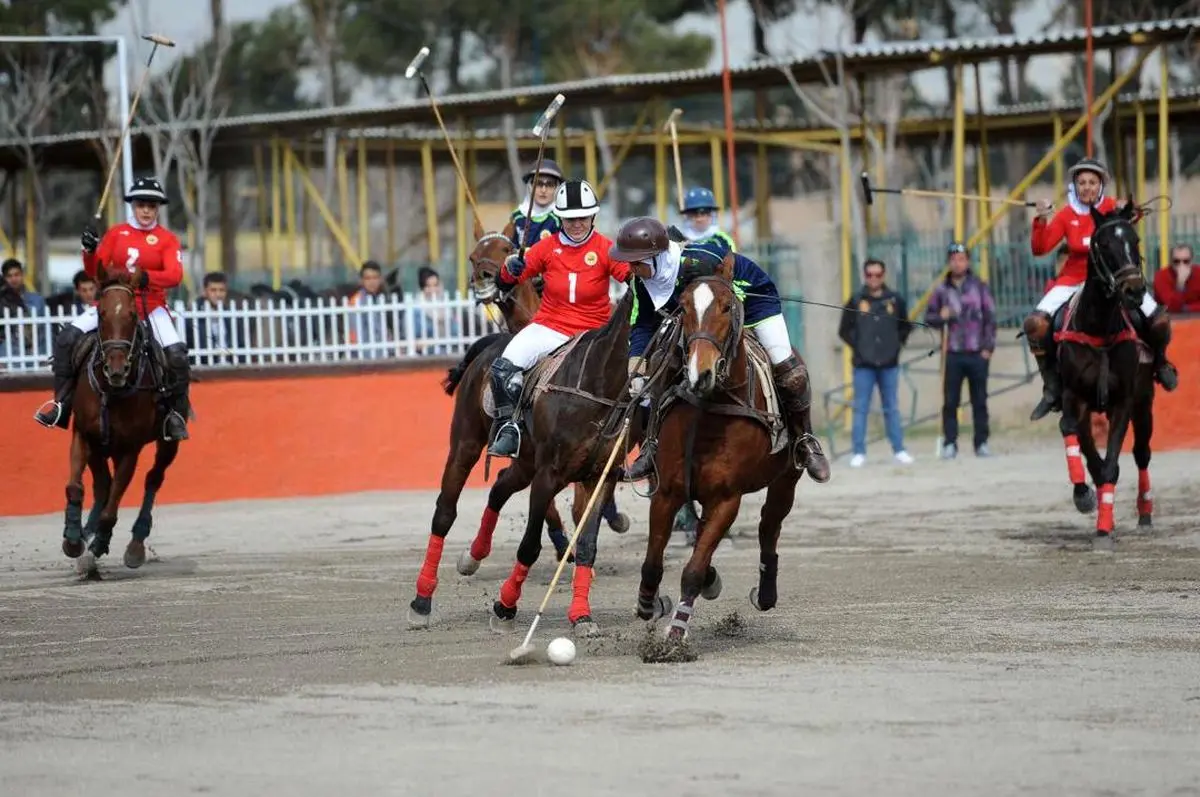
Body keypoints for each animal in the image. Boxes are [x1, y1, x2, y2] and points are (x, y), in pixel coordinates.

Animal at [64, 264, 181, 576]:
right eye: (102, 314)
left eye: (132, 315)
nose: (116, 368)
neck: (113, 389)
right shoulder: (85, 435)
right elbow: (77, 487)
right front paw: (73, 539)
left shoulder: (130, 449)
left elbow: (112, 508)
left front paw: (98, 545)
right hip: (102, 447)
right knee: (102, 485)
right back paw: (85, 532)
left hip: (168, 443)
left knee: (153, 479)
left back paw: (135, 544)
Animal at [405, 229, 628, 628]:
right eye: (473, 256)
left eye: (507, 246)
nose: (485, 281)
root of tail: (491, 345)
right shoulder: (548, 470)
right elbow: (535, 536)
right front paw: (508, 603)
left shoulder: (596, 470)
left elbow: (584, 533)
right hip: (466, 444)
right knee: (445, 511)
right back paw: (422, 599)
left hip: (524, 462)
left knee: (499, 487)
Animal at [633, 273, 801, 657]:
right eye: (682, 308)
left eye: (727, 307)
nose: (701, 373)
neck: (709, 410)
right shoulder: (667, 492)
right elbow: (652, 562)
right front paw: (649, 604)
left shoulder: (727, 498)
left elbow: (693, 570)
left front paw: (675, 636)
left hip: (786, 479)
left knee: (769, 525)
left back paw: (765, 592)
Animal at [1056, 202, 1156, 552]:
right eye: (1104, 245)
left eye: (1135, 241)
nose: (1134, 290)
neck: (1098, 327)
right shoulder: (1075, 399)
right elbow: (1079, 442)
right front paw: (1085, 496)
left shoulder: (1124, 402)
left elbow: (1112, 463)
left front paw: (1103, 529)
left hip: (1144, 404)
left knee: (1142, 454)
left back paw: (1145, 513)